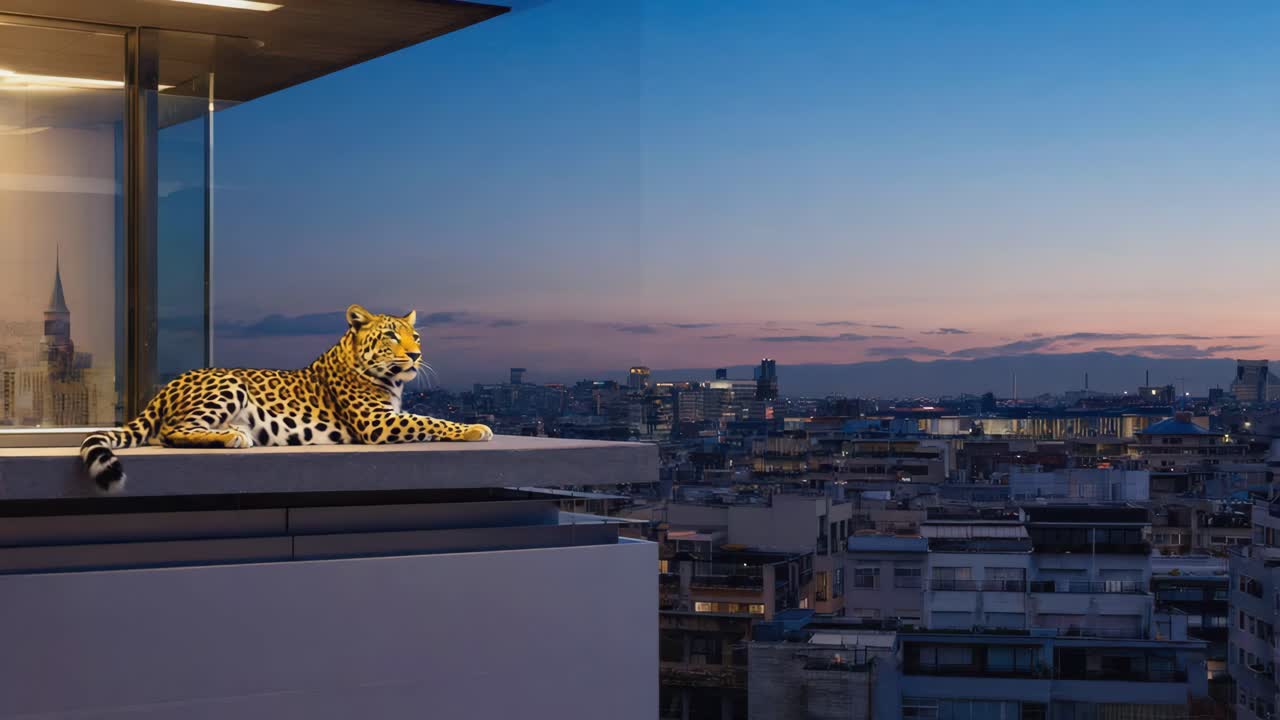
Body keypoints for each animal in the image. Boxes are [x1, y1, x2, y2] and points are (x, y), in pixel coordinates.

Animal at [80, 304, 493, 492]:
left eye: (415, 336)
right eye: (391, 336)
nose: (416, 355)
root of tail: (162, 391)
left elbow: (427, 417)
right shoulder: (378, 423)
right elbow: (431, 419)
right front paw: (476, 428)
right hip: (229, 383)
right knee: (169, 432)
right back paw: (233, 436)